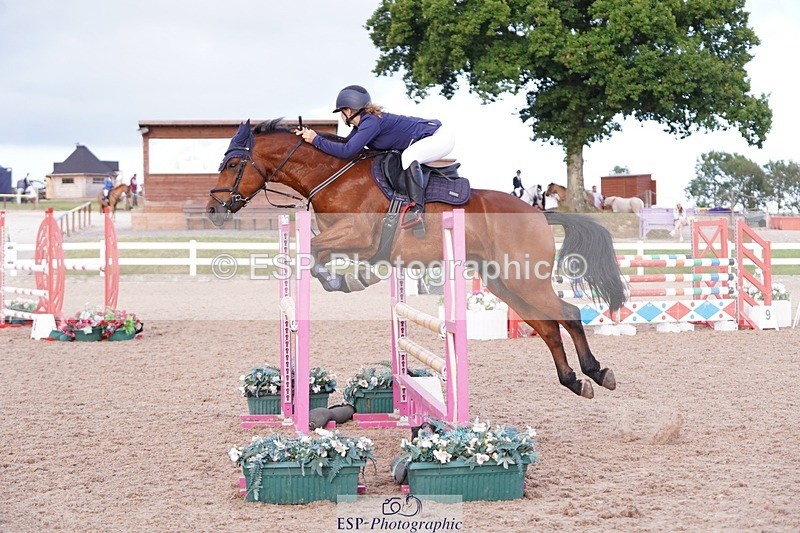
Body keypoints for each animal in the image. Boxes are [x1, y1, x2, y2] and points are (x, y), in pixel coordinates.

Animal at [207, 119, 627, 399]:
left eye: (233, 164)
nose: (213, 211)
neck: (333, 176)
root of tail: (539, 212)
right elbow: (312, 255)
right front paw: (342, 279)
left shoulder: (357, 237)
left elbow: (313, 254)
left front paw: (342, 280)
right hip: (504, 281)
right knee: (548, 327)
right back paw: (575, 381)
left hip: (524, 278)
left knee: (567, 314)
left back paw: (597, 372)